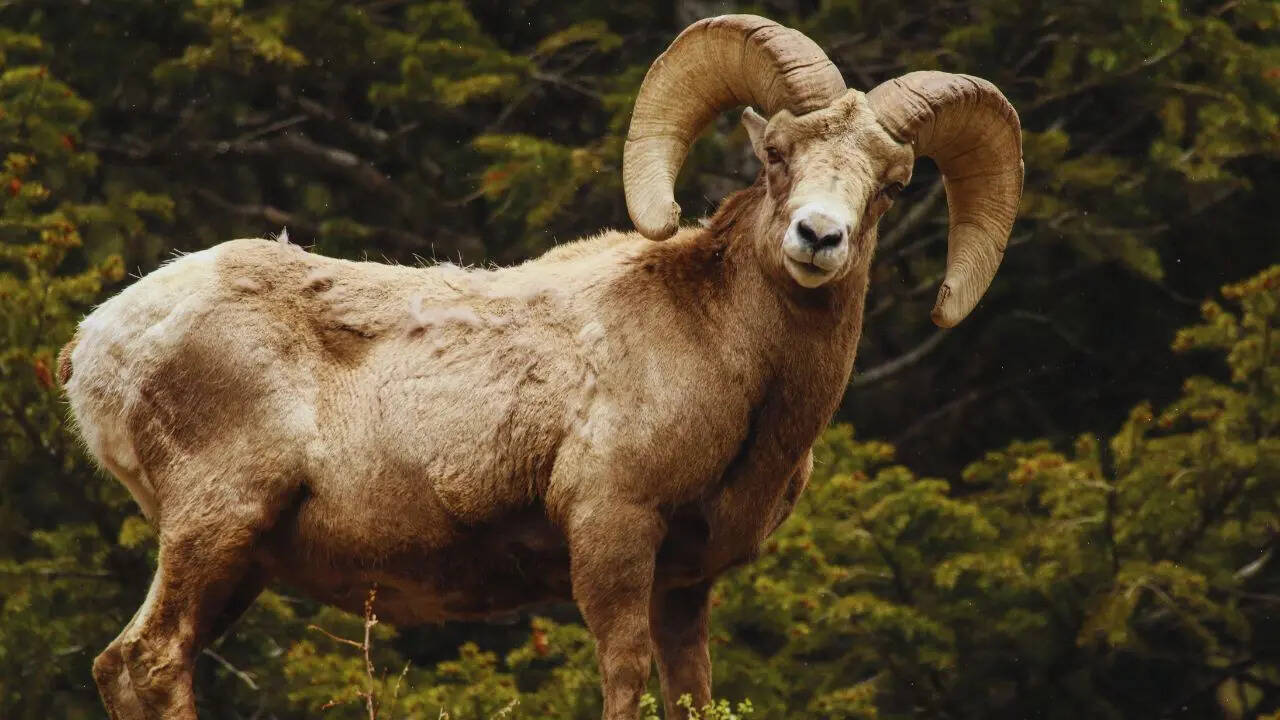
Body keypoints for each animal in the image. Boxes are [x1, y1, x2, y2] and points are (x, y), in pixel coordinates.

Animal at [61, 14, 1022, 720]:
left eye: (892, 183)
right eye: (777, 154)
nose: (818, 238)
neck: (724, 362)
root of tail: (97, 344)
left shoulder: (686, 587)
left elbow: (690, 695)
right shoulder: (612, 537)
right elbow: (623, 682)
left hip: (241, 561)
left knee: (137, 667)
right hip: (216, 524)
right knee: (148, 661)